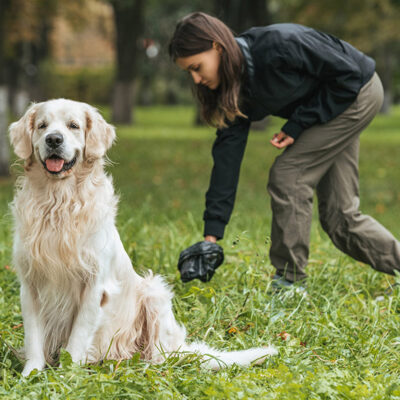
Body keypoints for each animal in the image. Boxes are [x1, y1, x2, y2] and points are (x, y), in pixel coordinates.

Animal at [9, 98, 278, 376]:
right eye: (42, 126)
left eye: (73, 125)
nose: (53, 139)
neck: (58, 202)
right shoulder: (30, 283)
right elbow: (34, 338)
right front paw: (31, 374)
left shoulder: (95, 285)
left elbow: (77, 338)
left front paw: (65, 374)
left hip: (154, 293)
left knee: (161, 355)